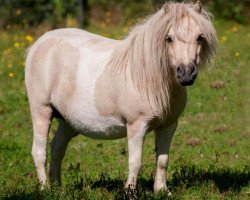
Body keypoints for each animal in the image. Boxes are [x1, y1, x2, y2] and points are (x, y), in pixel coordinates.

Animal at [25, 0, 217, 194]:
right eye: (169, 38)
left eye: (200, 37)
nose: (186, 74)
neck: (148, 79)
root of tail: (39, 43)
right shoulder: (136, 126)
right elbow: (135, 162)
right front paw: (130, 192)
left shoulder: (168, 126)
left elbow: (163, 160)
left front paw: (162, 190)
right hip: (41, 111)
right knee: (39, 152)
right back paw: (45, 188)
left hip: (67, 121)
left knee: (57, 149)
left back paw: (57, 187)